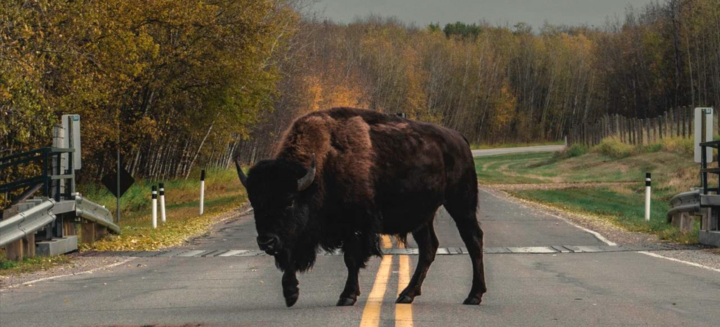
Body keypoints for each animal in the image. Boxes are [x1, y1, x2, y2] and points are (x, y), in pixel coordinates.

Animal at [233, 107, 486, 308]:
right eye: (255, 203)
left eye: (290, 201)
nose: (266, 241)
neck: (321, 169)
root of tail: (459, 139)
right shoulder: (298, 236)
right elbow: (289, 258)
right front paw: (290, 294)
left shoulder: (356, 226)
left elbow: (351, 260)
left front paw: (347, 296)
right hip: (422, 217)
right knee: (429, 248)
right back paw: (407, 294)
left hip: (461, 202)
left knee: (473, 240)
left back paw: (474, 295)